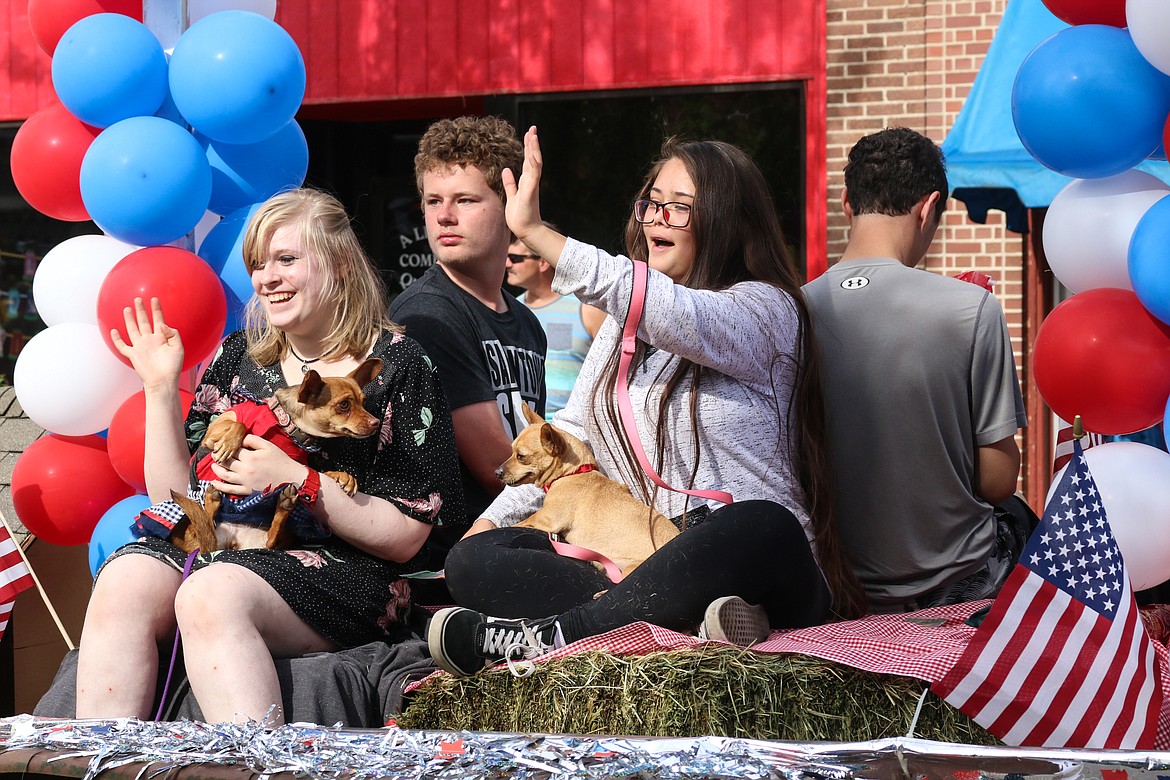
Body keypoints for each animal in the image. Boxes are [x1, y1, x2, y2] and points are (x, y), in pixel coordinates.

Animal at [169, 360, 381, 554]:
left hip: (282, 533)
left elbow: (316, 472)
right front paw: (229, 444)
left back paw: (283, 505)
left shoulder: (298, 463)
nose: (376, 422)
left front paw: (343, 476)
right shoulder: (211, 435)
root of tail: (232, 542)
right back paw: (211, 498)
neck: (286, 426)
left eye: (363, 402)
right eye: (343, 405)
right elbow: (241, 425)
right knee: (207, 520)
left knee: (270, 540)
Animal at [498, 402, 683, 580]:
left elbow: (522, 522)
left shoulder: (546, 519)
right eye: (511, 451)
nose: (497, 472)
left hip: (631, 568)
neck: (572, 473)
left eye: (521, 456)